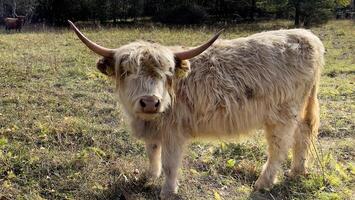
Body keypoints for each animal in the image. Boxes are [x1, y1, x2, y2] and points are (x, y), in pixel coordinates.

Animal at [67, 20, 326, 198]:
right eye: (128, 71)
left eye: (167, 72)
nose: (150, 102)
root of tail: (306, 36)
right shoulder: (154, 129)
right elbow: (152, 152)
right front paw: (149, 176)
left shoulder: (173, 132)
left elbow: (170, 163)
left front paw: (167, 191)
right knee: (303, 134)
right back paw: (297, 171)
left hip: (281, 117)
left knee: (279, 147)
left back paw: (264, 182)